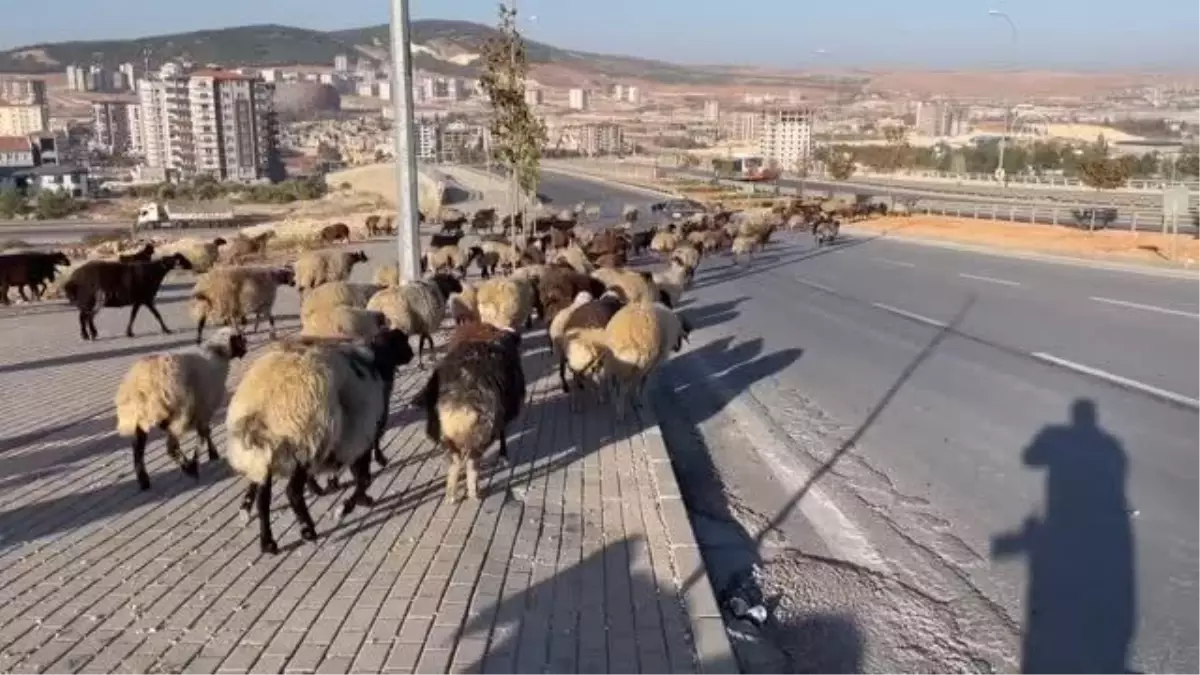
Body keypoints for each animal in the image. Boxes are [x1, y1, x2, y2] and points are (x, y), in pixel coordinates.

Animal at [63, 251, 193, 338]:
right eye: (180, 260)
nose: (191, 265)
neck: (154, 272)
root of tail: (72, 279)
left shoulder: (139, 301)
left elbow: (133, 315)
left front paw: (129, 332)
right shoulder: (146, 299)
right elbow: (156, 315)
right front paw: (167, 330)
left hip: (88, 301)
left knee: (86, 317)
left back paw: (91, 334)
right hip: (87, 300)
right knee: (83, 317)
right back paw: (87, 334)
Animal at [117, 326, 248, 487]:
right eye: (240, 339)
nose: (245, 350)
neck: (216, 354)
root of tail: (142, 383)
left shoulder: (201, 410)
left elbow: (204, 433)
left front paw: (210, 454)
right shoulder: (204, 408)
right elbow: (204, 434)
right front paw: (209, 455)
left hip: (141, 417)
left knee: (138, 449)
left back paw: (144, 480)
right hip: (179, 413)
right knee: (171, 447)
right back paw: (189, 468)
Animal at [412, 326, 525, 499]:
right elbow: (503, 434)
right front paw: (503, 456)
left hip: (442, 431)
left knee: (455, 461)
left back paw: (451, 495)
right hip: (483, 429)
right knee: (471, 462)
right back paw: (474, 493)